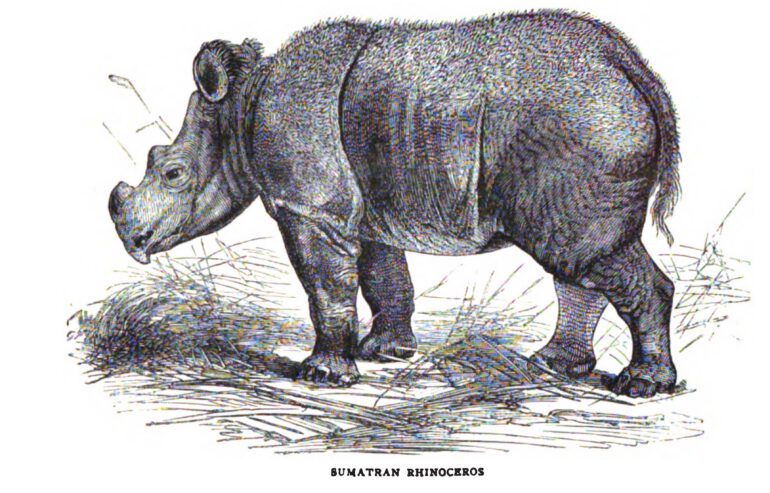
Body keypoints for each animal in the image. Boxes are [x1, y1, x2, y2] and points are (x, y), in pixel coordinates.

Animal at [108, 10, 681, 397]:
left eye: (172, 172)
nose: (131, 242)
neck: (240, 105)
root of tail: (634, 69)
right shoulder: (363, 209)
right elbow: (382, 276)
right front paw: (387, 353)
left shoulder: (307, 208)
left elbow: (325, 287)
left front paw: (321, 375)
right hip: (582, 129)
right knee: (572, 255)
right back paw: (552, 366)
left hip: (584, 124)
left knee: (585, 254)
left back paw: (639, 387)